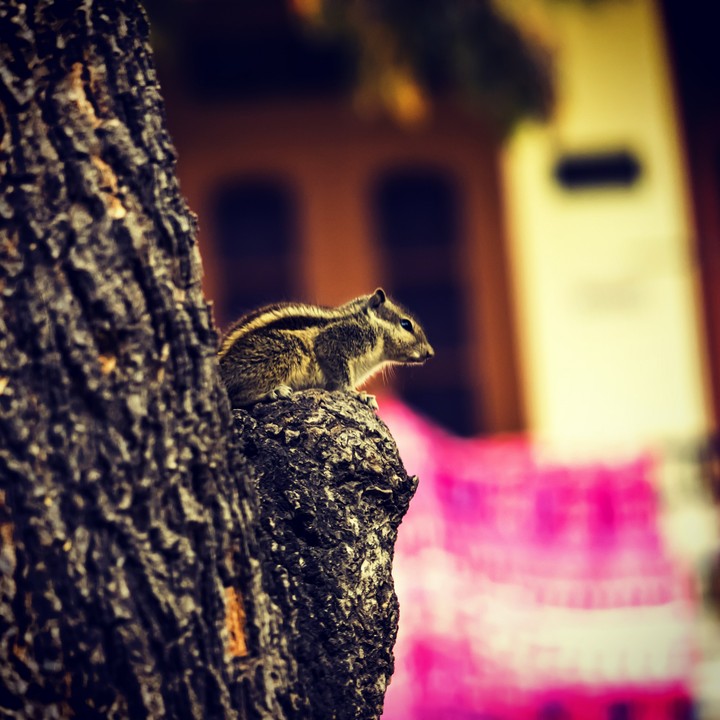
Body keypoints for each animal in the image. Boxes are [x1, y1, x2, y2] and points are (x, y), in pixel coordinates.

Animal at [217, 288, 434, 409]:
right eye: (406, 324)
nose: (431, 353)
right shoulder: (336, 341)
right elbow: (342, 378)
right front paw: (357, 394)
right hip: (287, 350)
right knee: (235, 398)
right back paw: (273, 392)